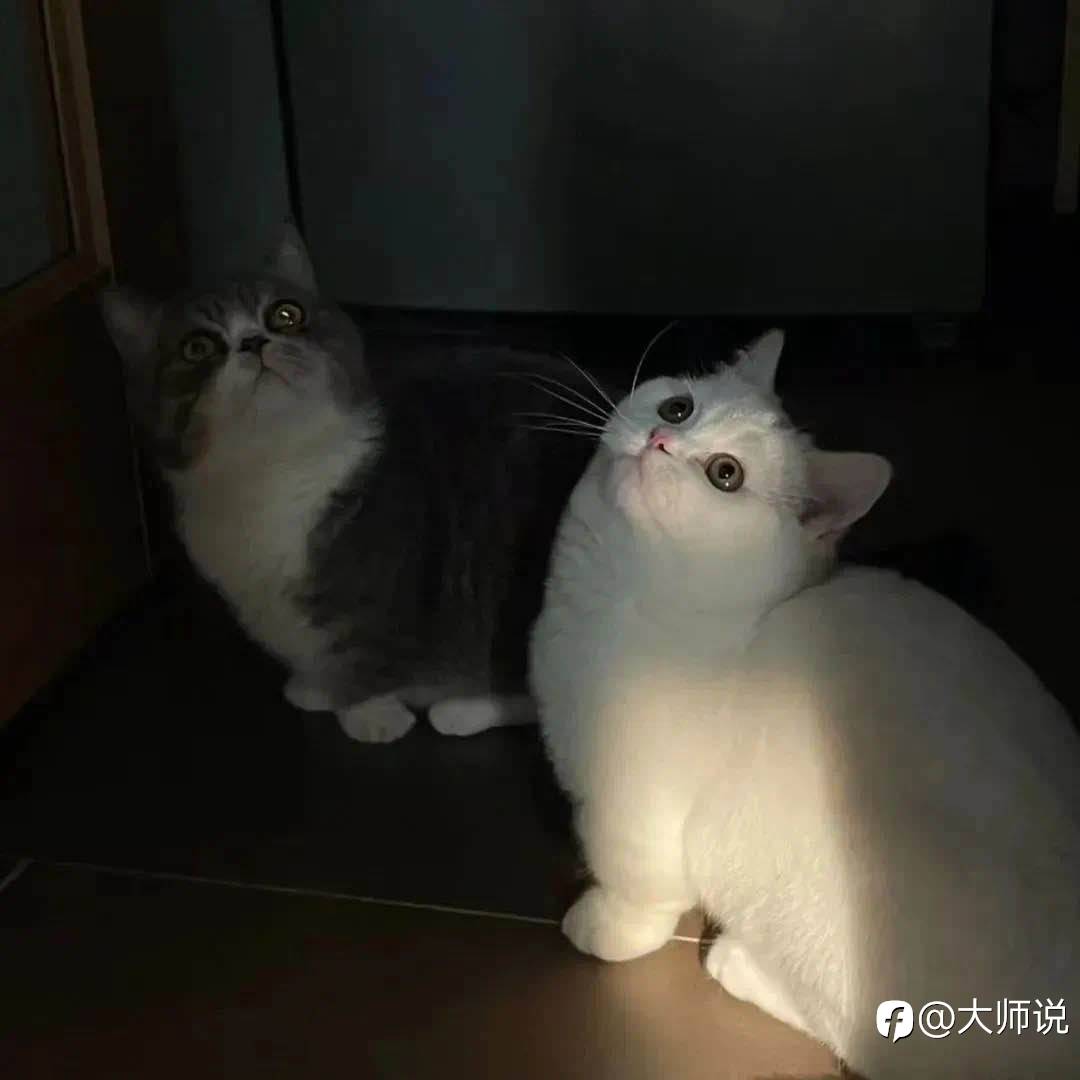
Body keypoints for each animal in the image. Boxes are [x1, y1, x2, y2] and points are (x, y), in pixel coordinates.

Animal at [101, 226, 606, 743]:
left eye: (286, 314)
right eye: (197, 347)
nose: (253, 341)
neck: (271, 471)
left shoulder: (381, 591)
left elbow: (364, 656)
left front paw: (370, 715)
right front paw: (315, 687)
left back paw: (461, 709)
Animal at [529, 329, 1080, 1078]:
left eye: (724, 474)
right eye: (677, 407)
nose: (660, 440)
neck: (614, 597)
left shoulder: (636, 809)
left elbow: (636, 885)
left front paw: (603, 927)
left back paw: (734, 962)